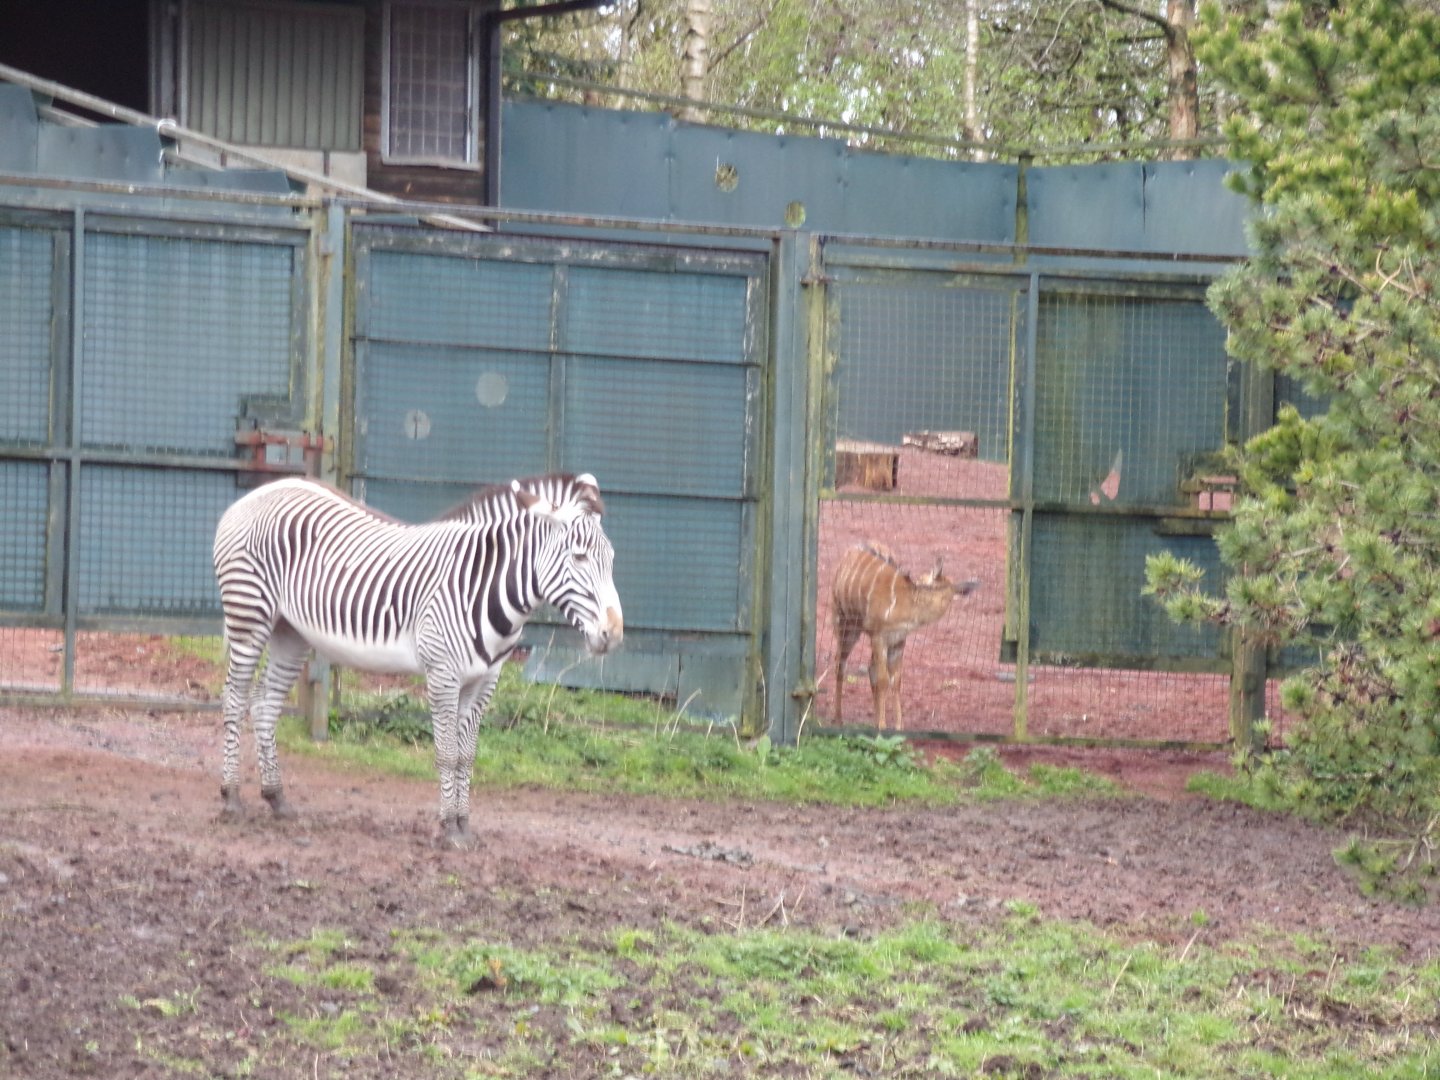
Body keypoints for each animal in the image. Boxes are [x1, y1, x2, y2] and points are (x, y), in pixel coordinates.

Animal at [212, 472, 623, 847]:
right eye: (579, 557)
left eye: (612, 560)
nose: (614, 632)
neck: (482, 587)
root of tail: (256, 494)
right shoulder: (443, 672)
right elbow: (447, 753)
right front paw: (448, 829)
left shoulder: (485, 679)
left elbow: (467, 754)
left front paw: (464, 825)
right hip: (249, 614)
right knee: (233, 699)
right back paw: (231, 797)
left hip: (290, 632)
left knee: (264, 704)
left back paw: (276, 797)